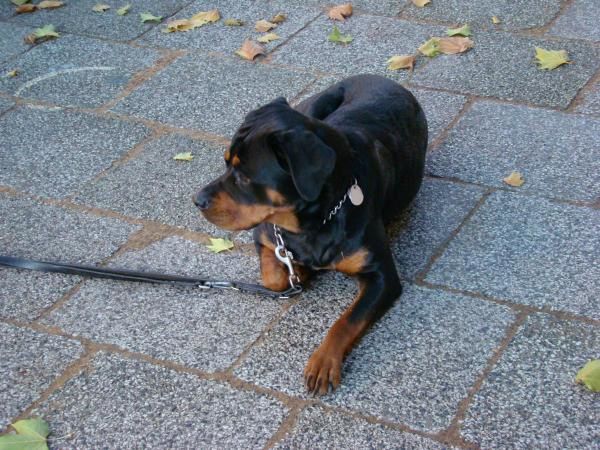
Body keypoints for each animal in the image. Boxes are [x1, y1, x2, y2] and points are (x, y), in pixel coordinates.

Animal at [195, 75, 428, 396]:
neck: (311, 224)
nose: (197, 200)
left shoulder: (382, 277)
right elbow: (274, 277)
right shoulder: (264, 234)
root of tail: (378, 77)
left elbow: (347, 320)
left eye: (244, 177)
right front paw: (300, 271)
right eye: (226, 163)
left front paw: (323, 362)